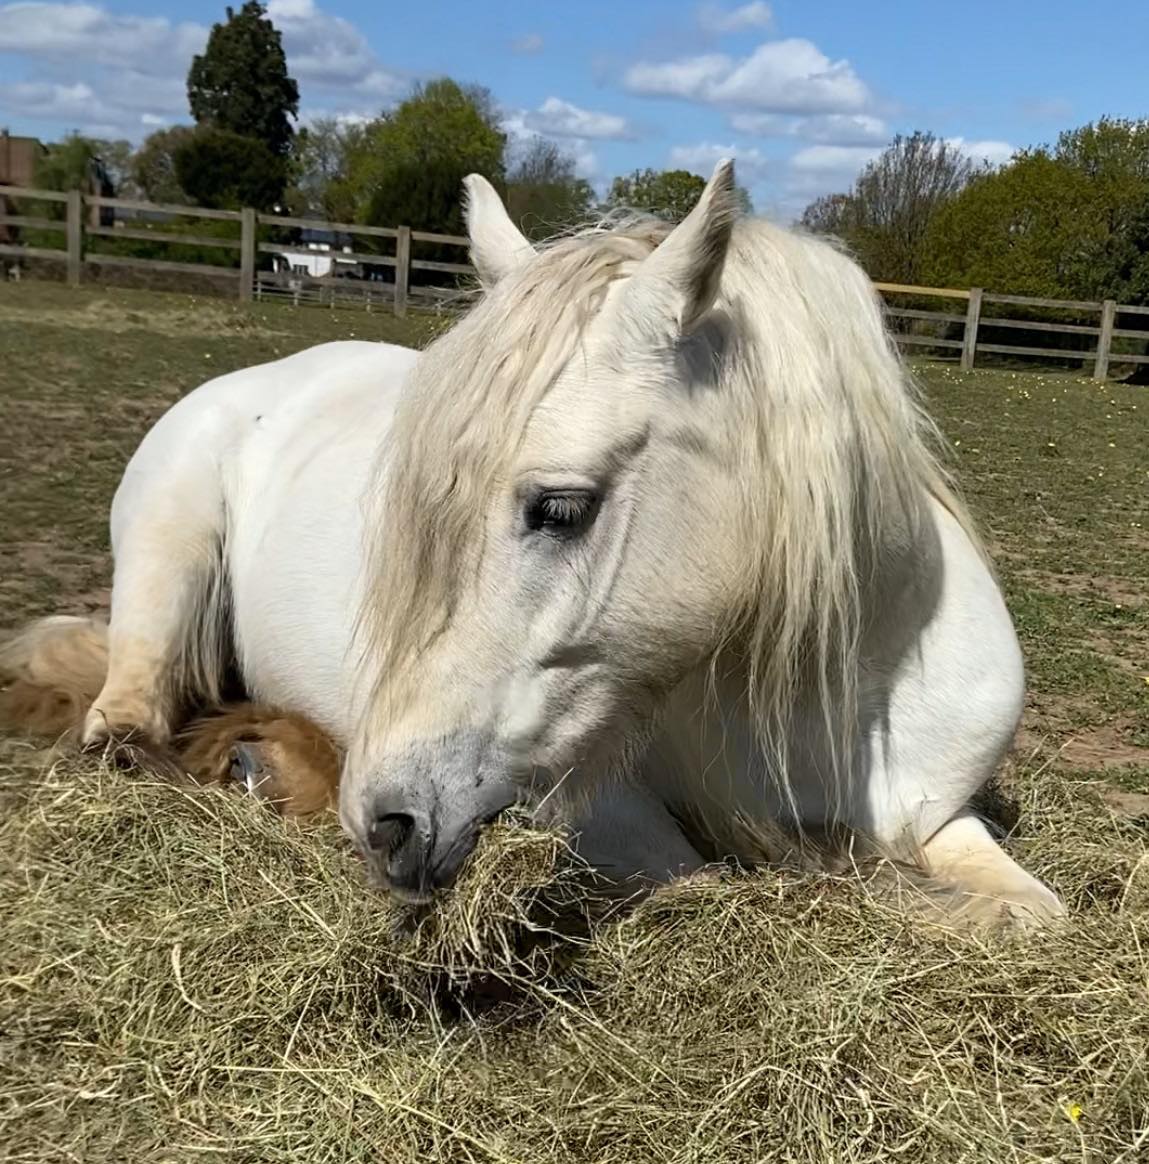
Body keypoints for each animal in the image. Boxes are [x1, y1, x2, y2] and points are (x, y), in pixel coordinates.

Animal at [2, 160, 1064, 928]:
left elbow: (1025, 913)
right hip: (168, 545)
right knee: (128, 716)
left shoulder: (942, 813)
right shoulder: (595, 815)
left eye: (558, 507)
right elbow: (745, 884)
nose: (384, 821)